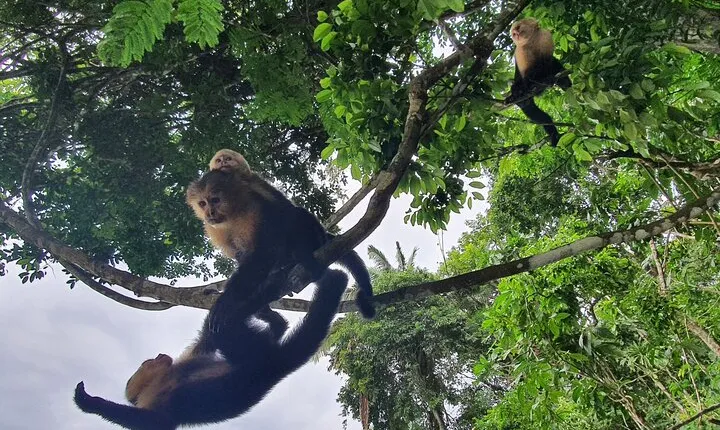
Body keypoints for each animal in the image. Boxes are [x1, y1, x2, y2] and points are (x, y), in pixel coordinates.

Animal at [74, 267, 350, 430]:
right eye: (147, 363)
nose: (159, 356)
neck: (163, 378)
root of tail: (274, 369)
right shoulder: (153, 401)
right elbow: (154, 421)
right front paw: (91, 403)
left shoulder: (186, 359)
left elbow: (204, 341)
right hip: (255, 354)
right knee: (229, 332)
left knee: (221, 328)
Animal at [188, 153, 375, 319]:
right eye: (202, 203)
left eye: (215, 200)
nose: (209, 213)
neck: (233, 214)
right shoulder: (213, 228)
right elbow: (240, 254)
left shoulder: (254, 206)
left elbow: (266, 249)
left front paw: (227, 300)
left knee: (296, 216)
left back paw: (299, 257)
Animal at [505, 18, 572, 146]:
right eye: (514, 33)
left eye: (518, 28)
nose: (516, 35)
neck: (531, 40)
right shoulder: (520, 51)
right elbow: (527, 73)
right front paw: (522, 87)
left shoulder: (544, 36)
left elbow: (547, 60)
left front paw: (551, 78)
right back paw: (518, 93)